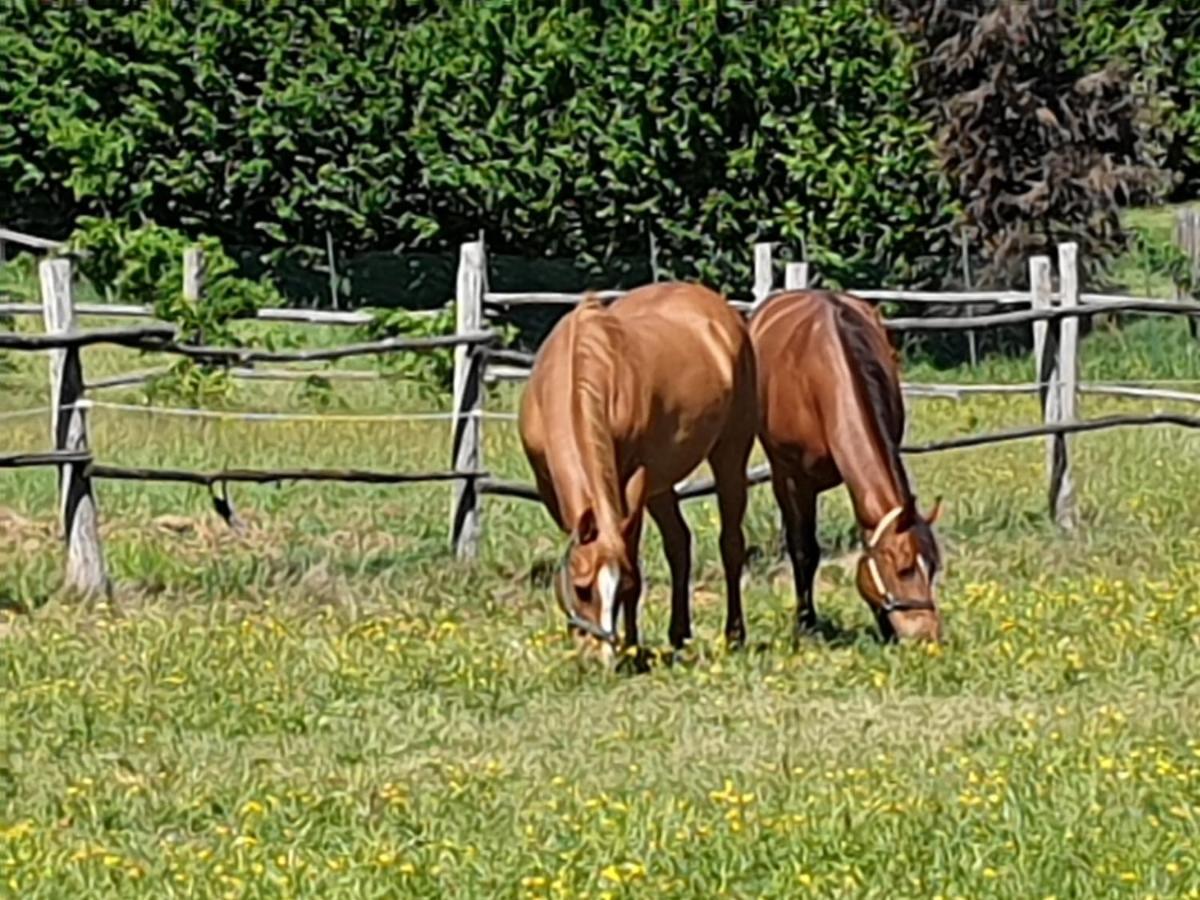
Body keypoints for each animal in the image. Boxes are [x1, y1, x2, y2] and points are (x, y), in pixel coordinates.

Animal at [518, 282, 758, 657]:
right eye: (581, 588)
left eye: (618, 586)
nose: (598, 657)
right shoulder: (551, 488)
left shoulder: (628, 484)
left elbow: (631, 560)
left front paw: (631, 649)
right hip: (660, 484)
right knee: (679, 542)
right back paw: (679, 634)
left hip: (730, 454)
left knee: (731, 544)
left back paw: (734, 635)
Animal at [748, 289, 945, 643]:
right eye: (904, 569)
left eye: (933, 568)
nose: (928, 635)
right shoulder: (794, 479)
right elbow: (804, 550)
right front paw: (806, 623)